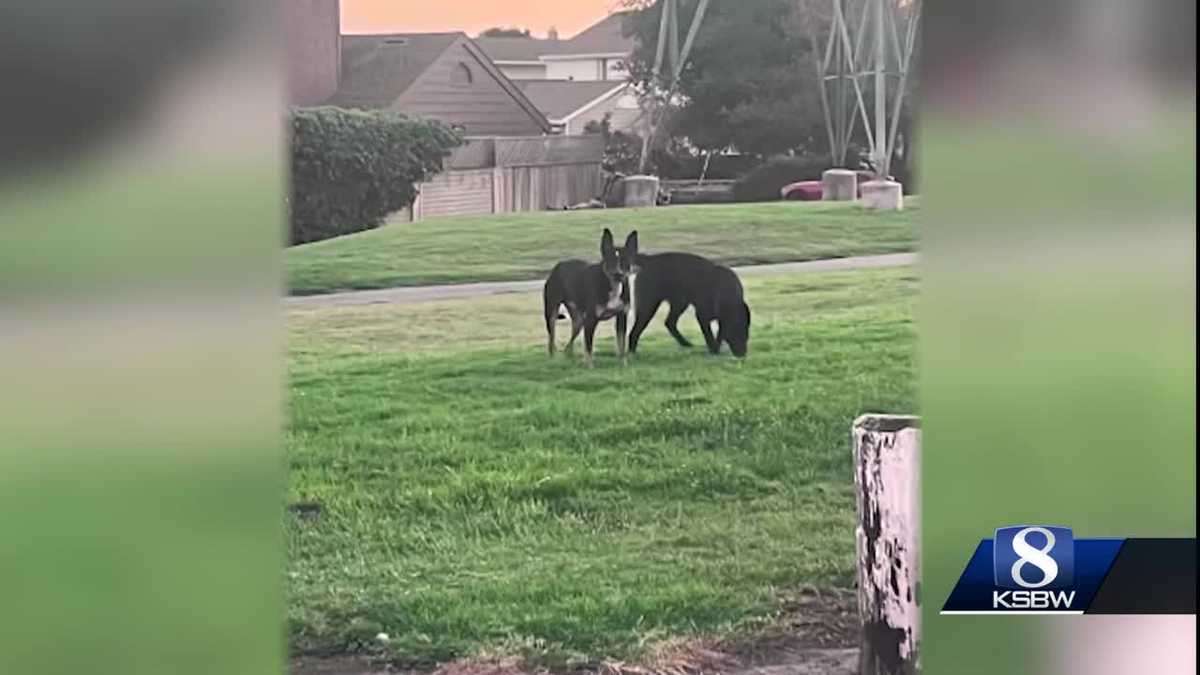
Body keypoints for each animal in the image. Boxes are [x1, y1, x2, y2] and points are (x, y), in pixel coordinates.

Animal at [544, 227, 638, 365]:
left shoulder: (621, 317)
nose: (618, 274)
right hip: (551, 312)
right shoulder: (591, 320)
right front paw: (589, 365)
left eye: (625, 262)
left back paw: (570, 357)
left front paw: (623, 364)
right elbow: (589, 347)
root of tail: (557, 267)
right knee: (551, 339)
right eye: (610, 261)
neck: (612, 285)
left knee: (569, 343)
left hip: (578, 321)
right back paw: (553, 359)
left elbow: (621, 345)